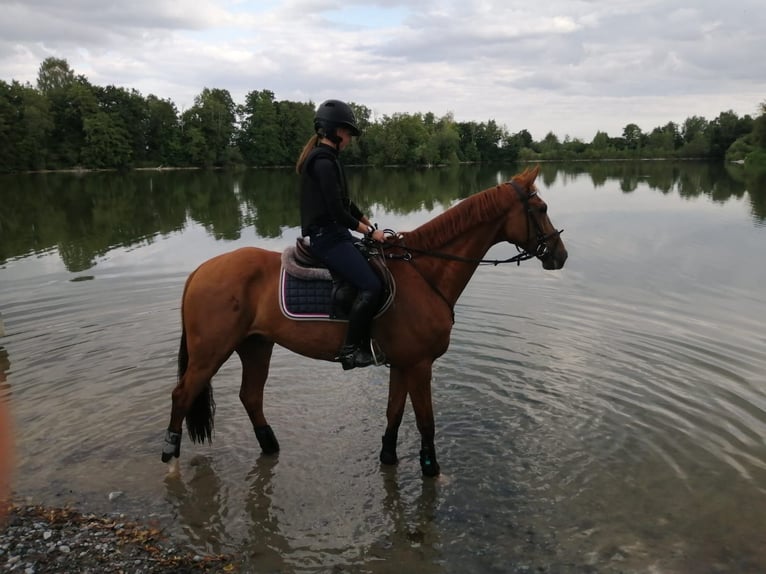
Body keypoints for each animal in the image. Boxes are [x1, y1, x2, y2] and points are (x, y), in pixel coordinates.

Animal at [161, 165, 567, 477]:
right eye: (542, 207)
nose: (560, 255)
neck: (424, 271)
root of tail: (200, 270)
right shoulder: (420, 365)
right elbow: (425, 422)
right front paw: (431, 469)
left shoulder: (403, 364)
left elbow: (394, 413)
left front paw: (388, 457)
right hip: (211, 352)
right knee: (182, 395)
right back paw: (171, 458)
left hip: (256, 345)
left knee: (250, 396)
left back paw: (270, 446)